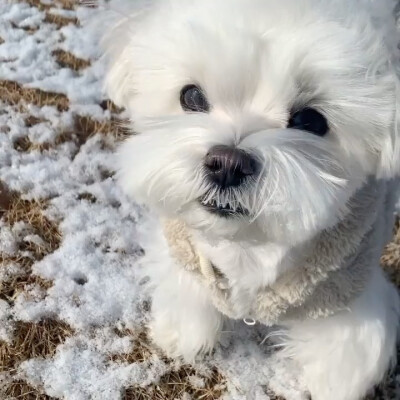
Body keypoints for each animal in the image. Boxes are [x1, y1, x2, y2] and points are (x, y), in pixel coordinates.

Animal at [101, 1, 400, 398]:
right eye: (191, 97)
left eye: (311, 121)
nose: (228, 164)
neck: (247, 244)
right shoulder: (185, 251)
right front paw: (185, 334)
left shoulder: (350, 286)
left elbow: (346, 360)